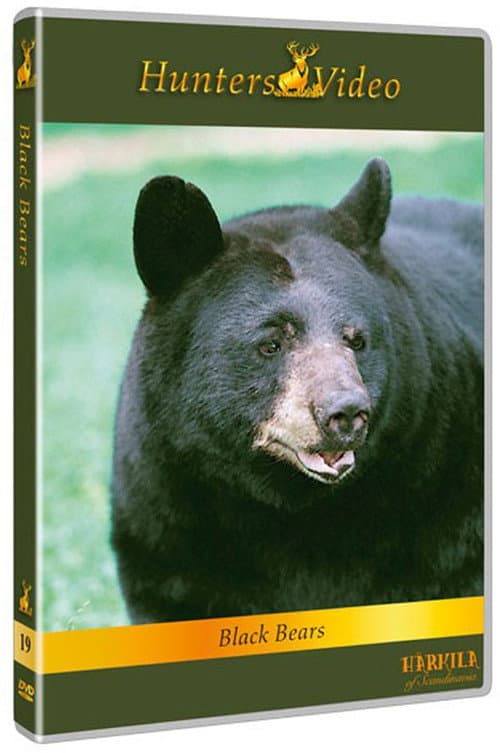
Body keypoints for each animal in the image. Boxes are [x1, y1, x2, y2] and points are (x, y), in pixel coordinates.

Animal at [111, 158, 484, 625]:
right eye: (271, 343)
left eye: (357, 339)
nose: (345, 412)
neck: (291, 507)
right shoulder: (165, 508)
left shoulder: (445, 489)